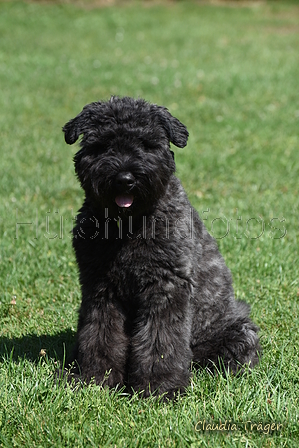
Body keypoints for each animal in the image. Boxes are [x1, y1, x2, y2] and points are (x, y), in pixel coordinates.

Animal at [62, 96, 262, 398]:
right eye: (103, 144)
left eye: (147, 144)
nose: (125, 179)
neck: (128, 228)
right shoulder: (101, 287)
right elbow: (100, 334)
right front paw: (96, 379)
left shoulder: (165, 286)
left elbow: (161, 340)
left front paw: (160, 387)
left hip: (236, 332)